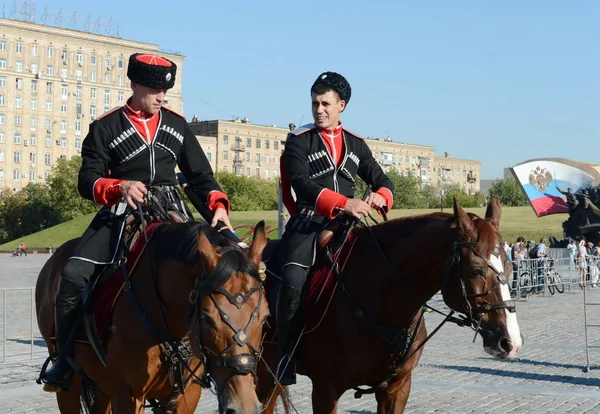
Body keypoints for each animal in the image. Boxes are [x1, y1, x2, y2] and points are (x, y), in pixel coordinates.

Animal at [37, 218, 270, 412]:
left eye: (265, 317)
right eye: (206, 317)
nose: (244, 406)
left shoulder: (187, 396)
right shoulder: (127, 395)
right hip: (70, 382)